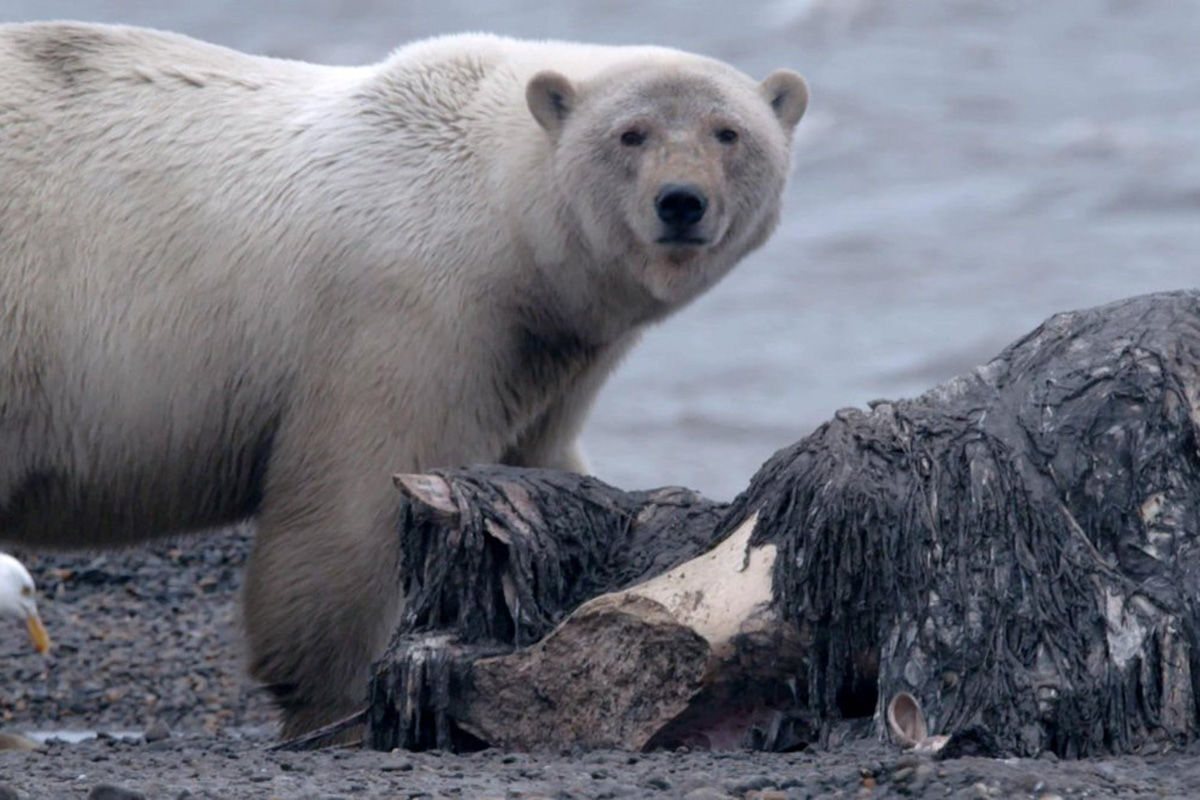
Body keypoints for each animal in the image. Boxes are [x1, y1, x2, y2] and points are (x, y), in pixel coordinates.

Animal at [0, 21, 811, 734]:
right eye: (631, 134)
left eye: (727, 132)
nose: (681, 202)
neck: (496, 208)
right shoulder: (406, 312)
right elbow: (355, 507)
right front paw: (342, 702)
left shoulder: (543, 355)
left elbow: (546, 465)